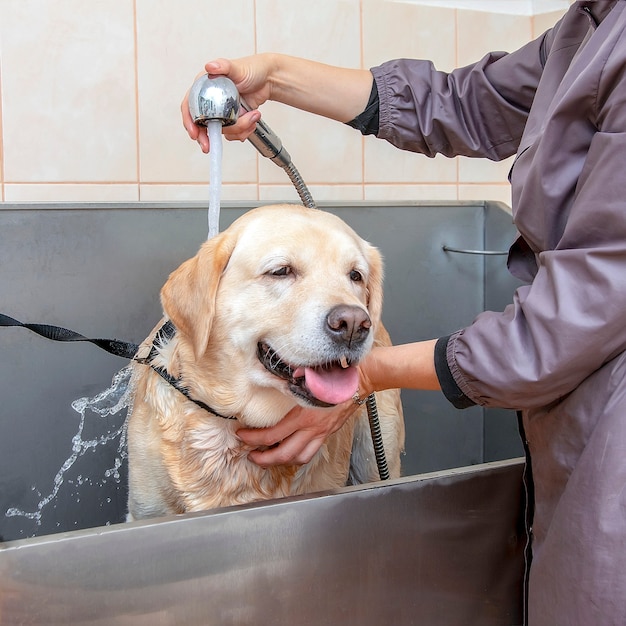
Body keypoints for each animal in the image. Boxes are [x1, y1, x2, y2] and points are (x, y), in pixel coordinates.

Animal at [125, 204, 404, 516]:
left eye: (355, 275)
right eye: (280, 271)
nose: (354, 324)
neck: (235, 419)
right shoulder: (145, 510)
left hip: (377, 453)